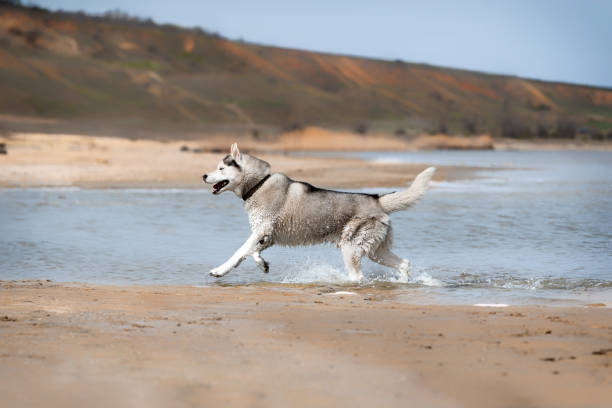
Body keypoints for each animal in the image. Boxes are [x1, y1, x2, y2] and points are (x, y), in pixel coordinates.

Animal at [204, 143, 436, 280]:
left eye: (221, 169)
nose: (204, 175)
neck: (259, 184)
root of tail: (378, 200)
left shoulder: (262, 228)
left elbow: (240, 251)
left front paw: (219, 270)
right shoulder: (268, 234)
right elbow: (252, 252)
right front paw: (263, 265)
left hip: (352, 248)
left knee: (358, 276)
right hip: (375, 250)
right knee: (404, 264)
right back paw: (403, 283)